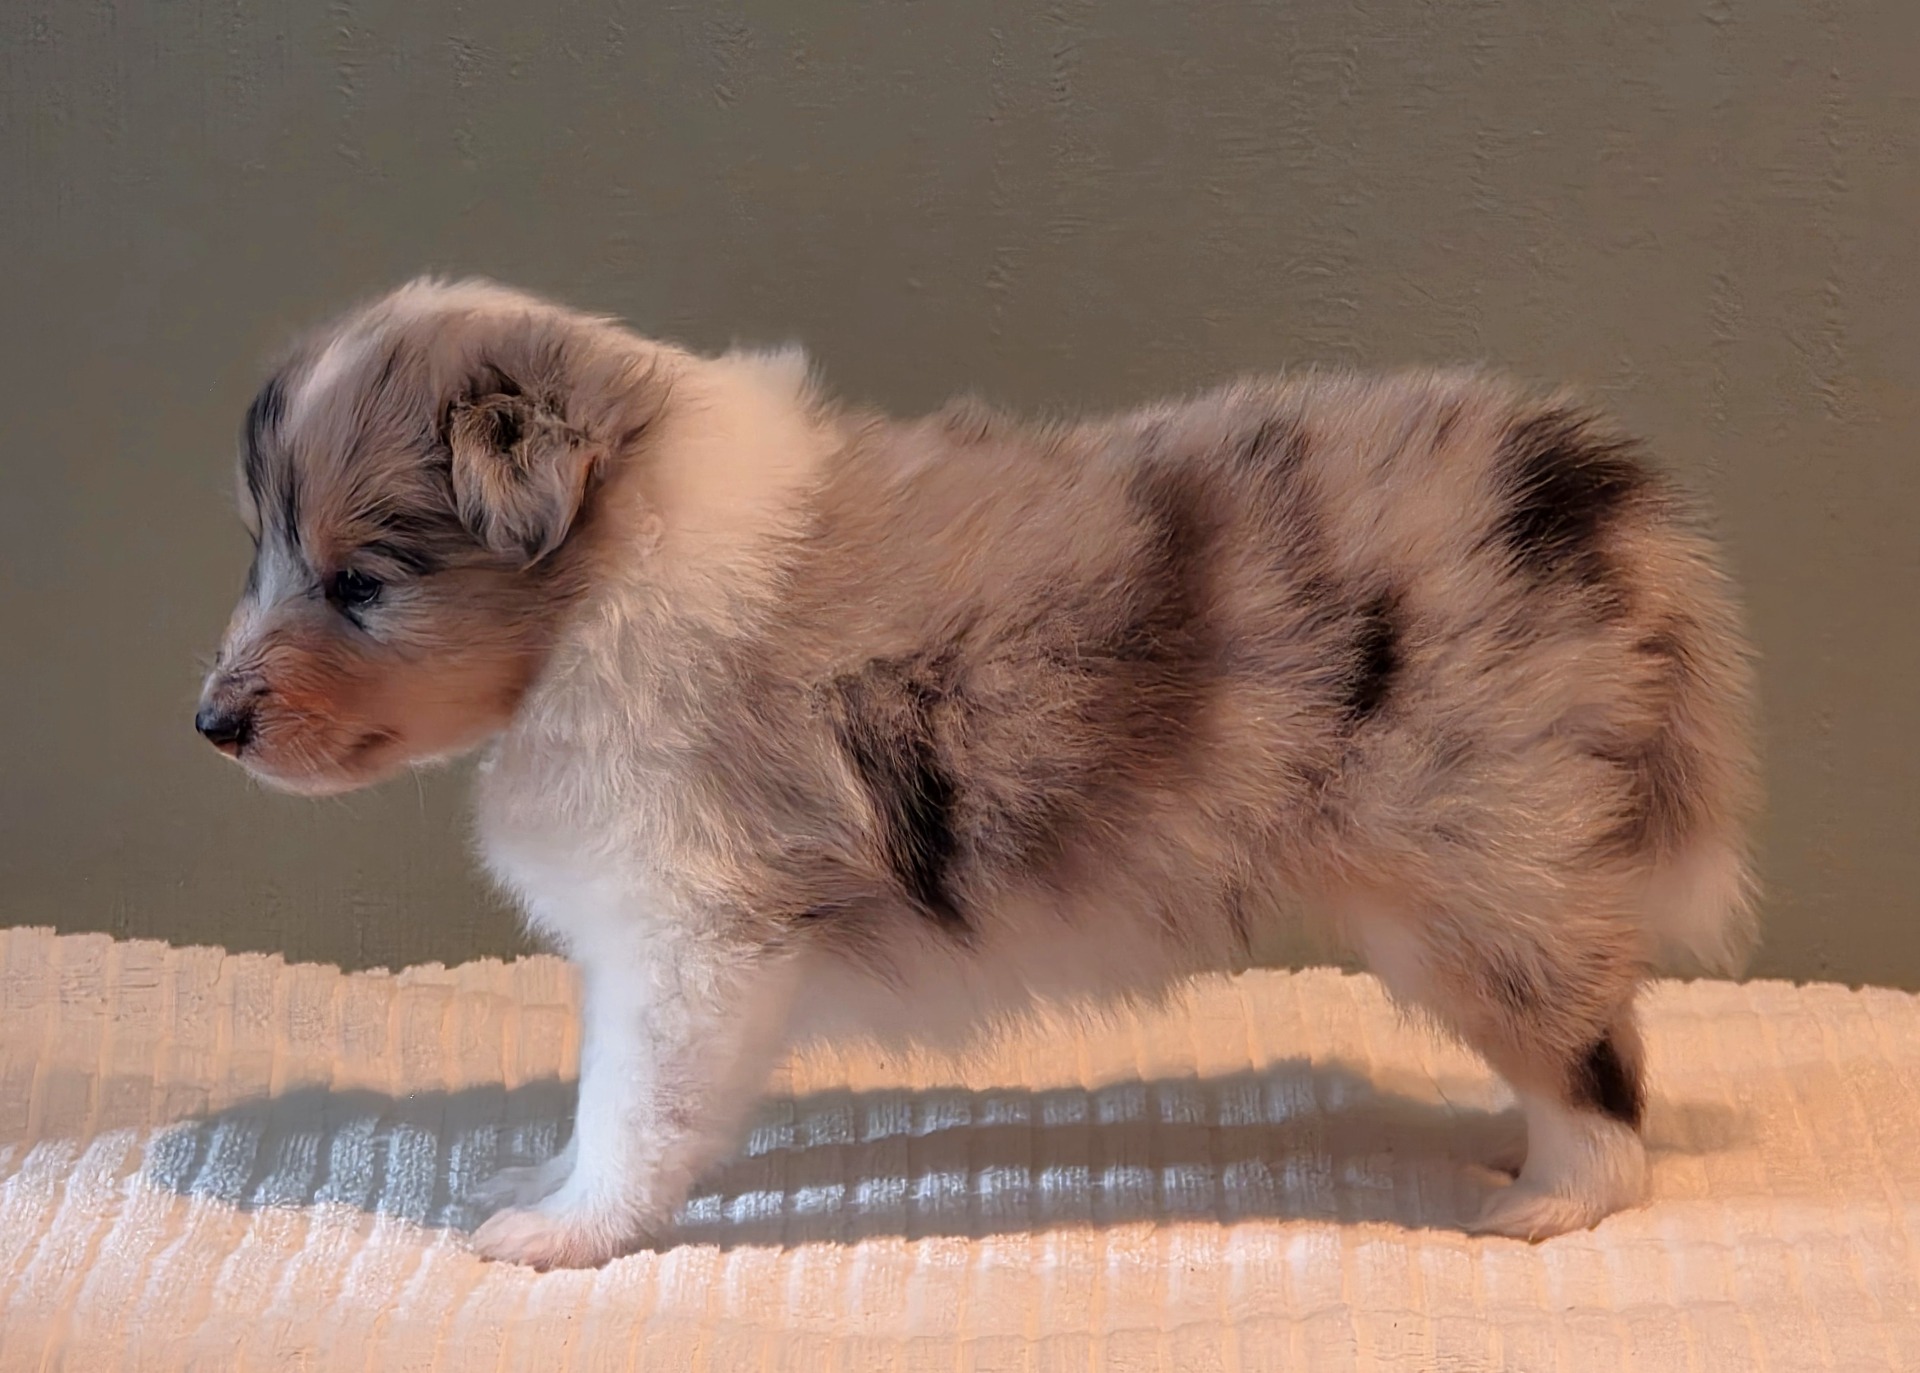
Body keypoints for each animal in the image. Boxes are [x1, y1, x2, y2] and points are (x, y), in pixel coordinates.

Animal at [197, 278, 1757, 1267]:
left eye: (361, 581)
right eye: (262, 554)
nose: (210, 724)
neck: (606, 576)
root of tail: (1591, 507)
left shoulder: (690, 935)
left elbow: (633, 1105)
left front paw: (563, 1231)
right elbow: (602, 1098)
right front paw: (542, 1177)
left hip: (1476, 876)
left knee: (1601, 1072)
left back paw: (1551, 1202)